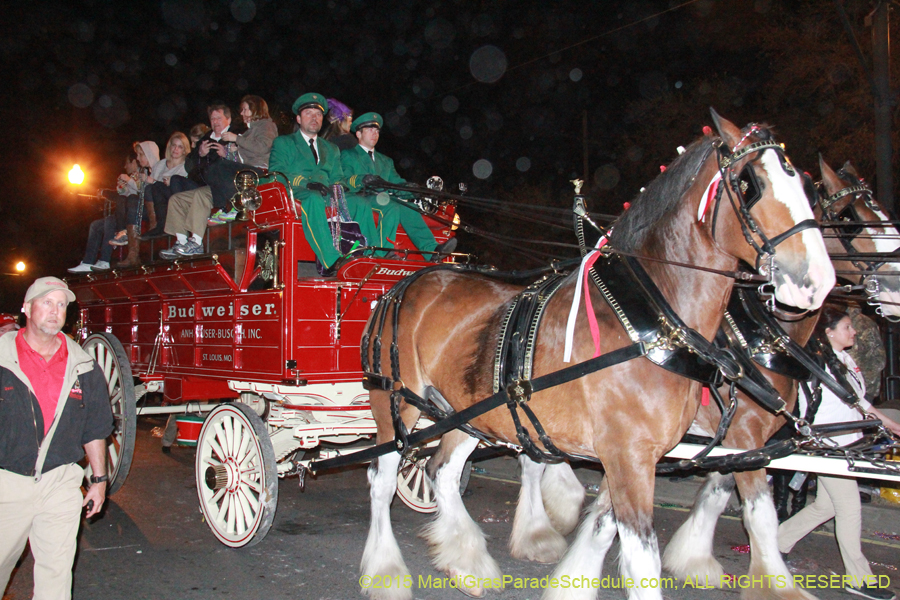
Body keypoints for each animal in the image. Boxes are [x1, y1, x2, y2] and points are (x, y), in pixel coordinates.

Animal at [362, 113, 832, 600]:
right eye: (749, 183)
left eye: (809, 190)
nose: (815, 281)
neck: (646, 325)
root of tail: (403, 285)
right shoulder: (640, 453)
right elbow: (648, 555)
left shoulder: (639, 456)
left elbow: (607, 526)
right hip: (393, 403)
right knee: (382, 479)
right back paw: (385, 572)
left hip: (467, 411)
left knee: (443, 471)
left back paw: (469, 562)